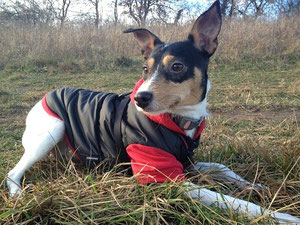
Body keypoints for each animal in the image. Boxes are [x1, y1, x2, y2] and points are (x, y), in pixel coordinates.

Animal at [6, 1, 300, 223]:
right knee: (12, 172)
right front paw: (279, 216)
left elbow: (222, 166)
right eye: (145, 69)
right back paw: (18, 195)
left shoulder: (186, 162)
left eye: (177, 66)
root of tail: (43, 98)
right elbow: (230, 200)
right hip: (52, 130)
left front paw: (254, 186)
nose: (139, 98)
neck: (180, 121)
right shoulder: (167, 178)